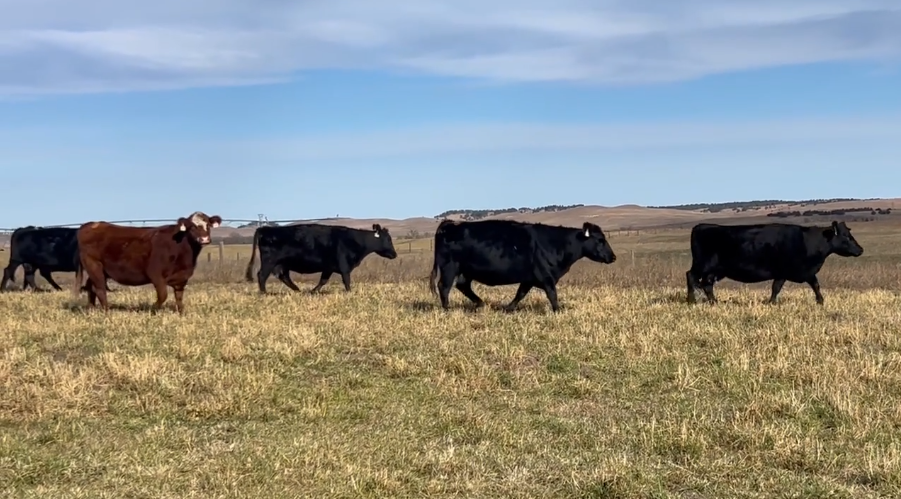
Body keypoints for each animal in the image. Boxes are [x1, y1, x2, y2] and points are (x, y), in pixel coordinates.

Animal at [71, 211, 222, 314]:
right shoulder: (156, 275)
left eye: (208, 225)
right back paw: (106, 311)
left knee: (91, 287)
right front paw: (153, 310)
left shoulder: (182, 278)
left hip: (99, 269)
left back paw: (91, 308)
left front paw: (181, 313)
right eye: (192, 227)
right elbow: (163, 295)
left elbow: (179, 297)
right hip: (93, 265)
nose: (204, 239)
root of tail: (90, 225)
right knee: (100, 288)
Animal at [244, 223, 398, 293]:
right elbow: (346, 281)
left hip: (282, 264)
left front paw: (313, 291)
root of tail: (265, 228)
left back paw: (298, 290)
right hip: (270, 261)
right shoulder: (344, 266)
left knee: (284, 277)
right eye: (388, 239)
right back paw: (264, 293)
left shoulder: (328, 267)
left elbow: (323, 280)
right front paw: (350, 292)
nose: (394, 254)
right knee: (262, 275)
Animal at [428, 219, 617, 312]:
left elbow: (520, 293)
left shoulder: (529, 278)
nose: (613, 257)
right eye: (600, 240)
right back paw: (447, 309)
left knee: (462, 286)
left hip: (465, 271)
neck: (557, 243)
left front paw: (509, 308)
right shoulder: (546, 275)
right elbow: (552, 294)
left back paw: (480, 303)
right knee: (444, 287)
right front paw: (558, 310)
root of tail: (450, 224)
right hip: (450, 267)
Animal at [685, 220, 864, 305]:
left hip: (713, 270)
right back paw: (691, 300)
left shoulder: (802, 272)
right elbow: (777, 288)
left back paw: (714, 302)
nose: (860, 250)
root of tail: (700, 227)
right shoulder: (786, 271)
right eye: (846, 236)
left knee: (707, 284)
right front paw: (771, 302)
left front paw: (820, 301)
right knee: (691, 276)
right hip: (702, 265)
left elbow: (815, 285)